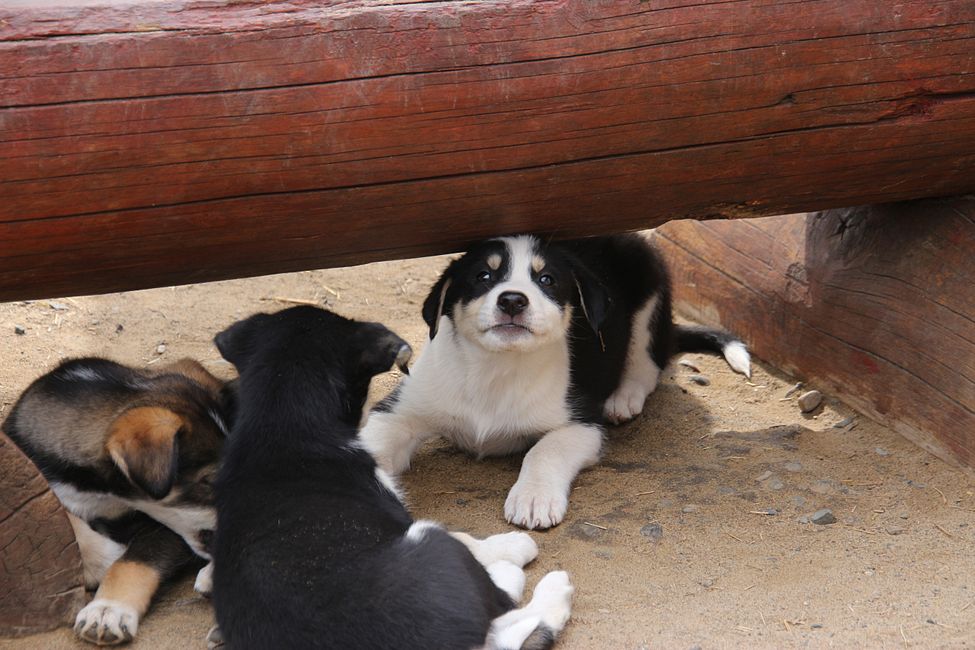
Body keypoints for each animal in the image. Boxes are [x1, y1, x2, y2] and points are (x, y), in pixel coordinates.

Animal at [1, 356, 233, 644]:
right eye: (210, 481)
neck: (99, 493)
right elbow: (66, 521)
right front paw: (103, 562)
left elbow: (133, 562)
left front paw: (107, 610)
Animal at [362, 232, 752, 528]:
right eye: (483, 276)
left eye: (546, 280)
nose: (513, 300)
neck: (497, 369)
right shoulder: (399, 410)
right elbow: (369, 443)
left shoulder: (581, 425)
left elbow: (544, 450)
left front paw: (533, 498)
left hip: (649, 281)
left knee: (649, 361)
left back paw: (623, 398)